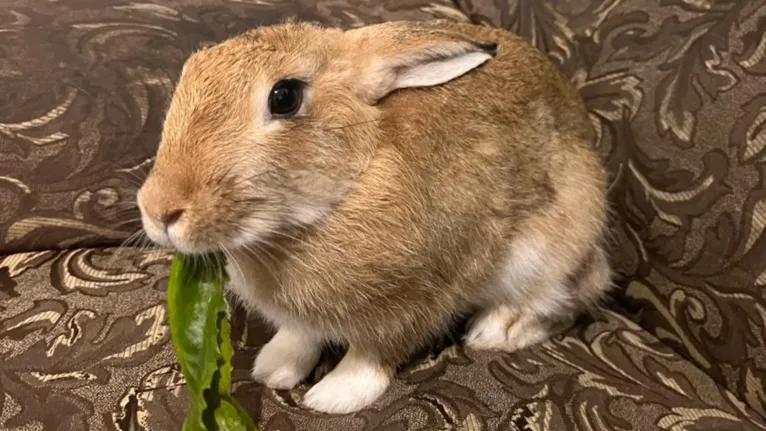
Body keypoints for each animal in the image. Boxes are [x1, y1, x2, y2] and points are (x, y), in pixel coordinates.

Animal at [138, 19, 612, 416]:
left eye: (285, 97)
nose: (159, 210)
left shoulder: (415, 300)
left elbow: (373, 354)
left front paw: (333, 397)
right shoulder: (306, 320)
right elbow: (300, 336)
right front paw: (273, 368)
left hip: (550, 250)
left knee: (565, 300)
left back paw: (495, 332)